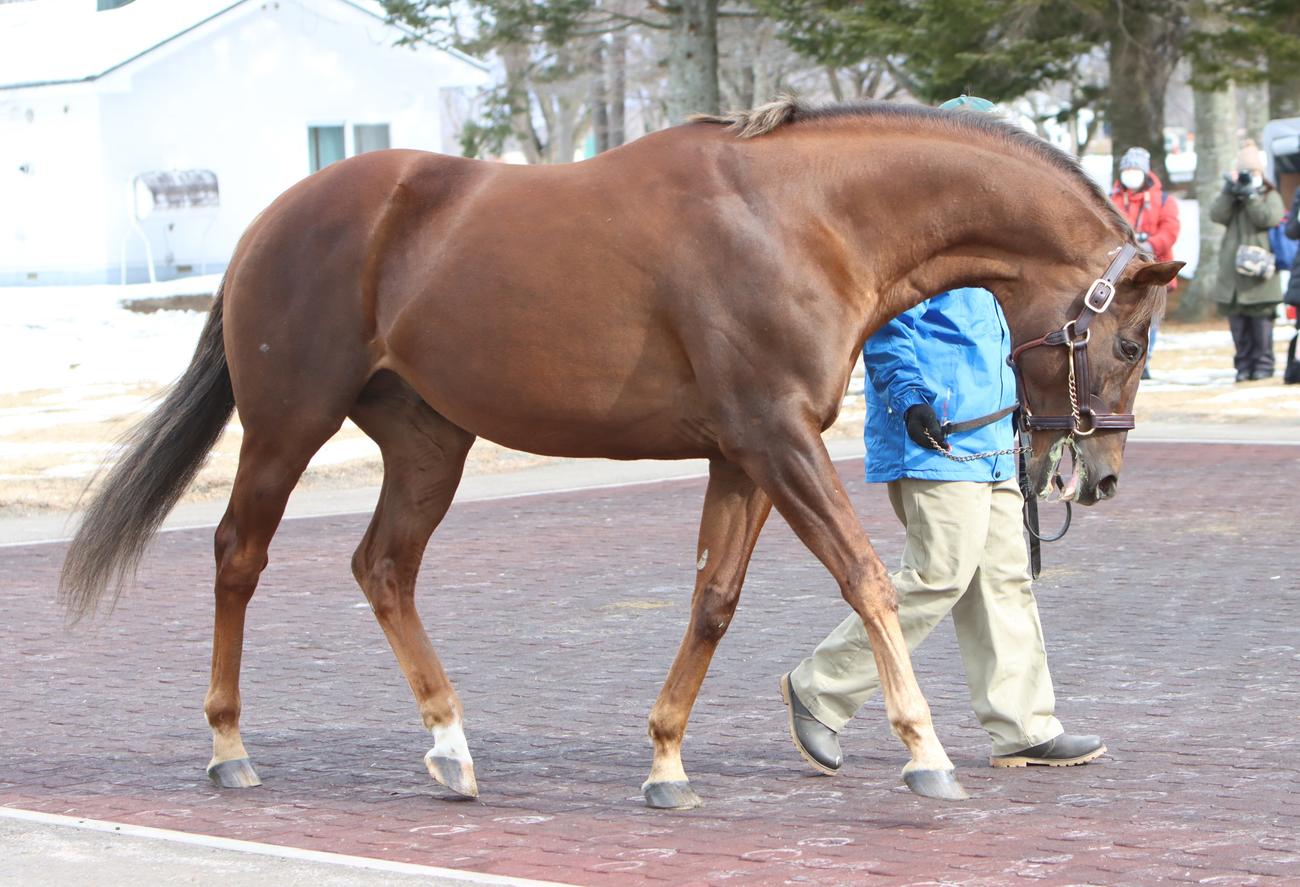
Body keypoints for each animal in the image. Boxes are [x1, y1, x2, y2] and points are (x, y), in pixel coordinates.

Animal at [60, 97, 1180, 810]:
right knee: (239, 555)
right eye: (1130, 343)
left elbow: (714, 599)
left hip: (429, 439)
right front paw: (925, 750)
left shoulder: (741, 453)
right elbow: (865, 576)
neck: (804, 219)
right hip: (288, 421)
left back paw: (450, 747)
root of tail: (272, 220)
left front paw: (667, 762)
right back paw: (229, 746)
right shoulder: (776, 438)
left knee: (382, 565)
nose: (1100, 475)